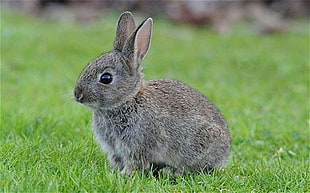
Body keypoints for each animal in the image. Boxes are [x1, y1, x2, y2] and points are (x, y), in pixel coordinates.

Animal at [74, 11, 230, 176]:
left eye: (106, 78)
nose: (78, 95)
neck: (128, 100)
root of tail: (225, 152)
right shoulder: (115, 149)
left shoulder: (136, 145)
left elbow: (135, 163)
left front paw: (124, 174)